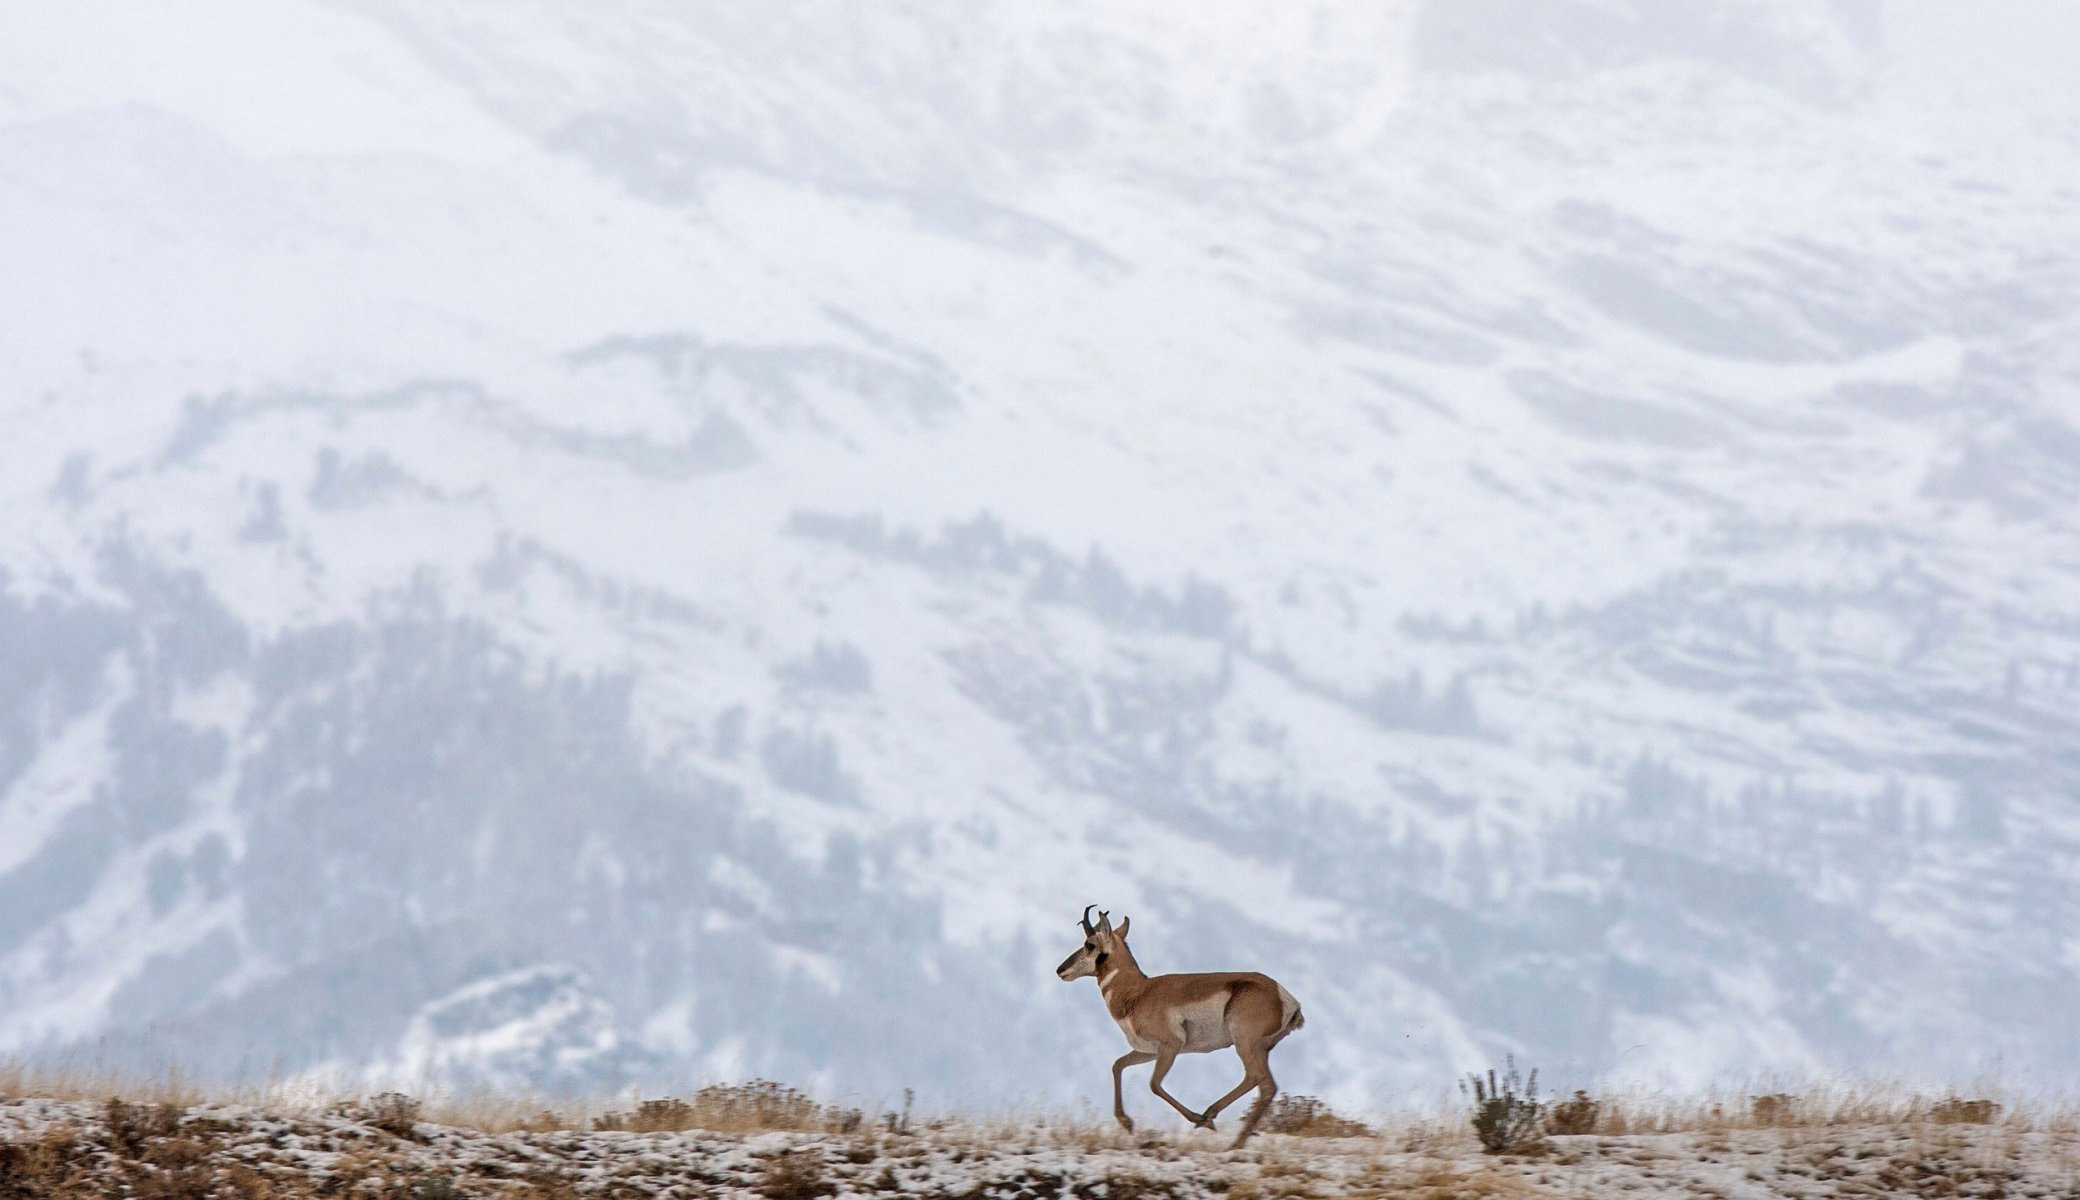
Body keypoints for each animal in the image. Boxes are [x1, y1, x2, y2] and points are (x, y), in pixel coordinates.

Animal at [1056, 902, 1297, 1148]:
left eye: (1089, 944)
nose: (1060, 970)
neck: (1138, 992)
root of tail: (1283, 996)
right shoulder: (1148, 1051)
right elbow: (1117, 1065)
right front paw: (1127, 1123)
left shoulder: (1171, 1046)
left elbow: (1154, 1084)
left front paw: (1197, 1119)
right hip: (1260, 1049)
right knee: (1268, 1087)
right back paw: (1235, 1142)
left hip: (1244, 1043)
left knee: (1255, 1077)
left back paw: (1210, 1119)